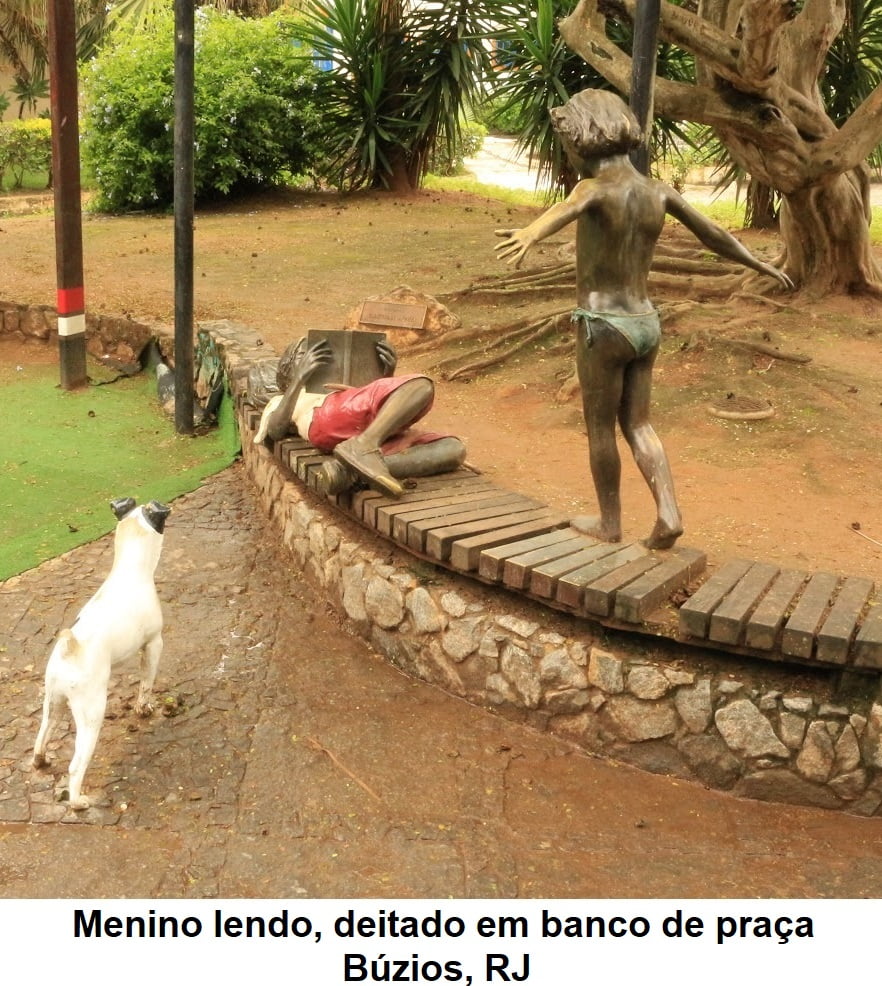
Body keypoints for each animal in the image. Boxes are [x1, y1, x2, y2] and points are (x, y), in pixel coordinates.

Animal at [32, 496, 171, 812]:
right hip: (91, 712)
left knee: (42, 736)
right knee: (75, 766)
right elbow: (146, 683)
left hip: (53, 701)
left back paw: (40, 760)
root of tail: (69, 651)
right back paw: (79, 802)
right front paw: (144, 709)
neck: (129, 569)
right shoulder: (154, 644)